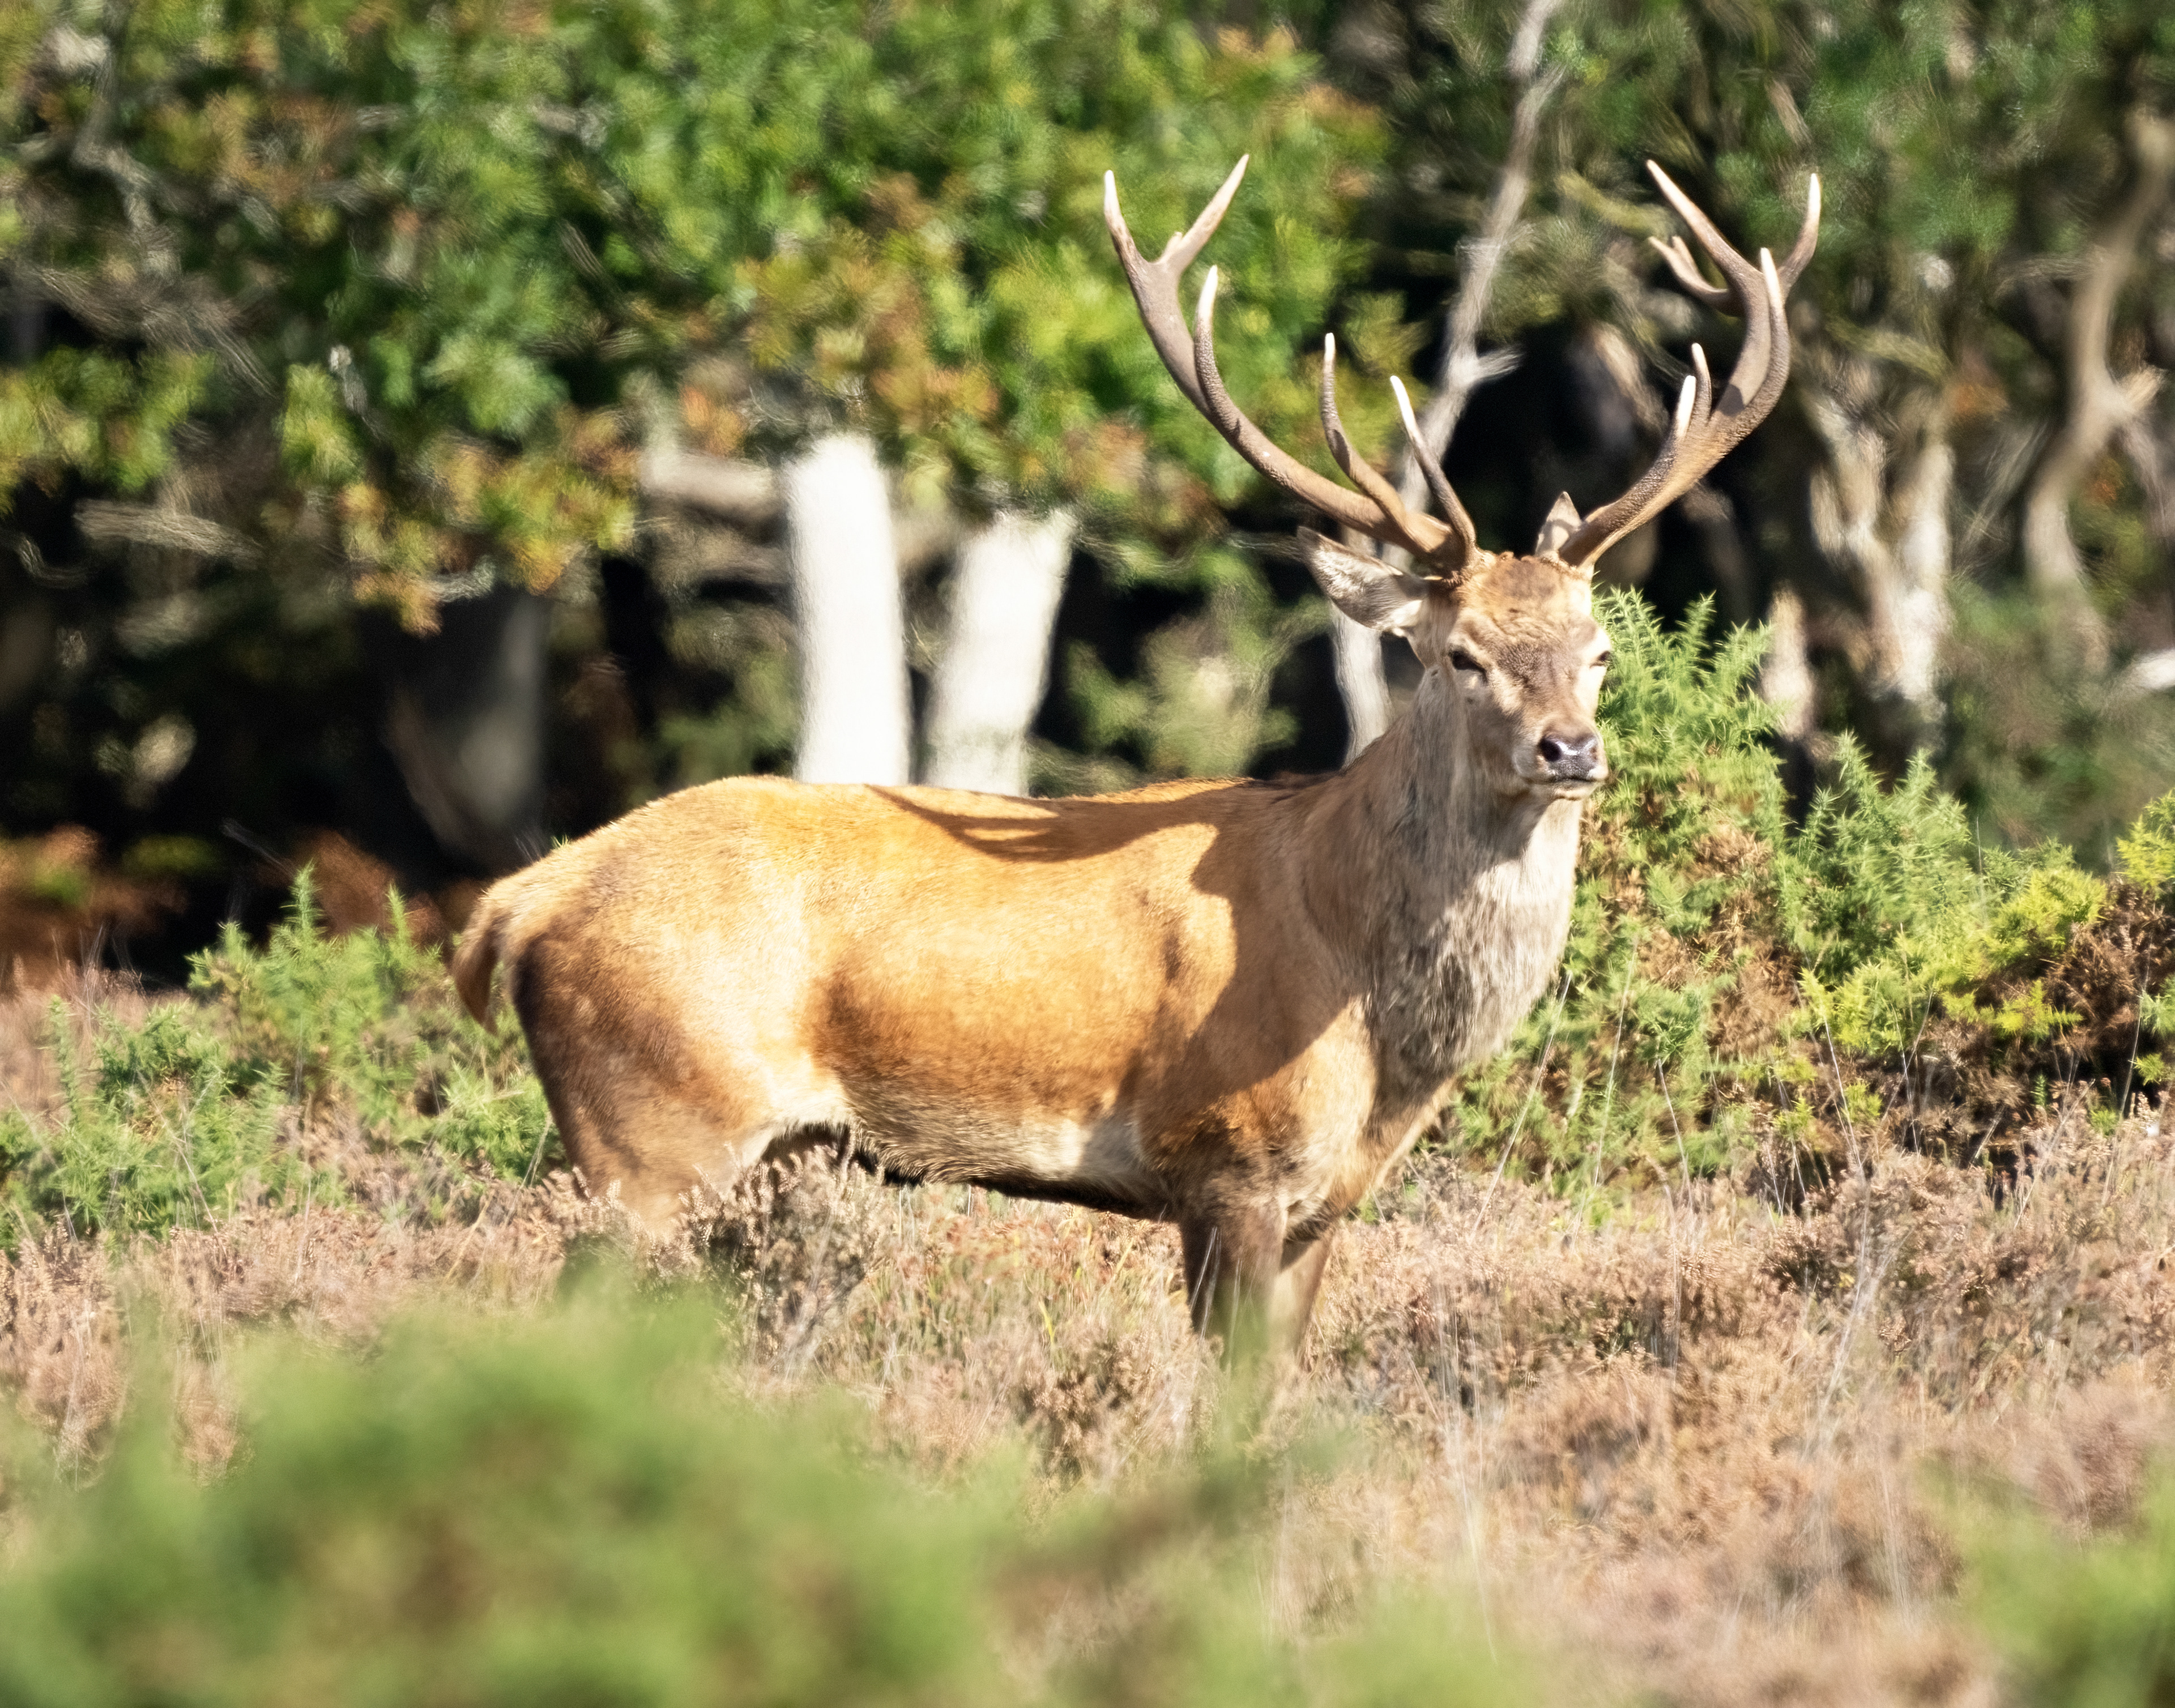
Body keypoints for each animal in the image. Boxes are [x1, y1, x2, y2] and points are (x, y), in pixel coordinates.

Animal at [452, 155, 1818, 1357]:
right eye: (1459, 653)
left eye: (1598, 650)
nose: (1569, 748)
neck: (1373, 1019)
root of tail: (520, 903)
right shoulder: (1226, 1158)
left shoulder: (1328, 1201)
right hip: (652, 1130)